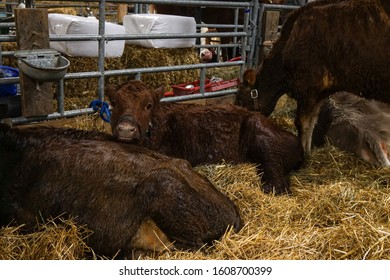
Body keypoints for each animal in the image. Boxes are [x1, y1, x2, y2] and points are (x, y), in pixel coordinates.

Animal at [105, 79, 304, 195]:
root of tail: (297, 143)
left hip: (261, 132)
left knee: (278, 181)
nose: (126, 129)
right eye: (113, 103)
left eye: (148, 105)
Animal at [235, 0, 390, 153]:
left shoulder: (308, 87)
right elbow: (312, 123)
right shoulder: (320, 92)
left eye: (240, 101)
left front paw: (303, 152)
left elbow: (303, 123)